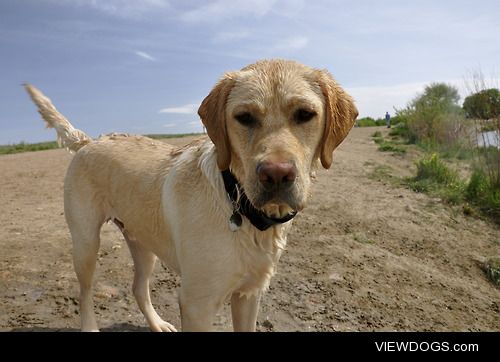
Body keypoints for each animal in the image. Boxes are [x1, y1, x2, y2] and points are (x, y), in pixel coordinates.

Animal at [25, 58, 358, 330]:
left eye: (305, 114)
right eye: (244, 117)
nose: (276, 174)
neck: (237, 203)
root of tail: (89, 141)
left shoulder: (248, 295)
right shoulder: (197, 304)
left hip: (142, 241)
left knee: (138, 288)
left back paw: (158, 324)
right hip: (85, 243)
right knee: (85, 292)